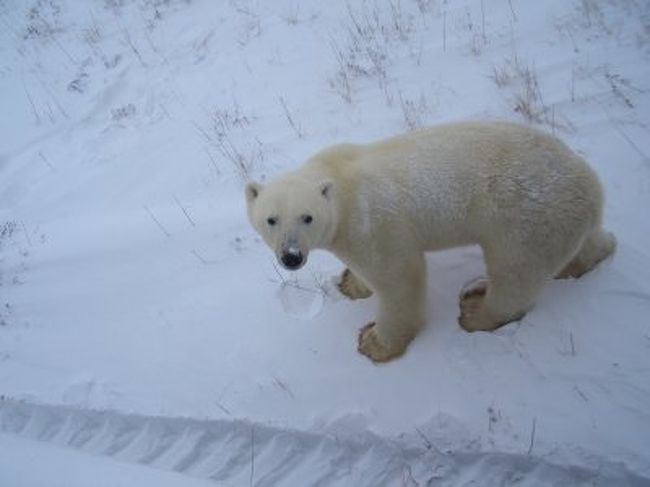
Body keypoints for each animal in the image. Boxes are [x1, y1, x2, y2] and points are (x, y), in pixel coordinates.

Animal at [243, 123, 612, 362]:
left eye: (307, 217)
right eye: (271, 219)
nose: (291, 257)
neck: (338, 179)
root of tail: (590, 184)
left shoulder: (370, 222)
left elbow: (398, 278)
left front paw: (373, 343)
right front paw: (350, 283)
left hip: (524, 220)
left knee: (515, 273)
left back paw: (475, 310)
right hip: (560, 218)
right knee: (584, 243)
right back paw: (588, 258)